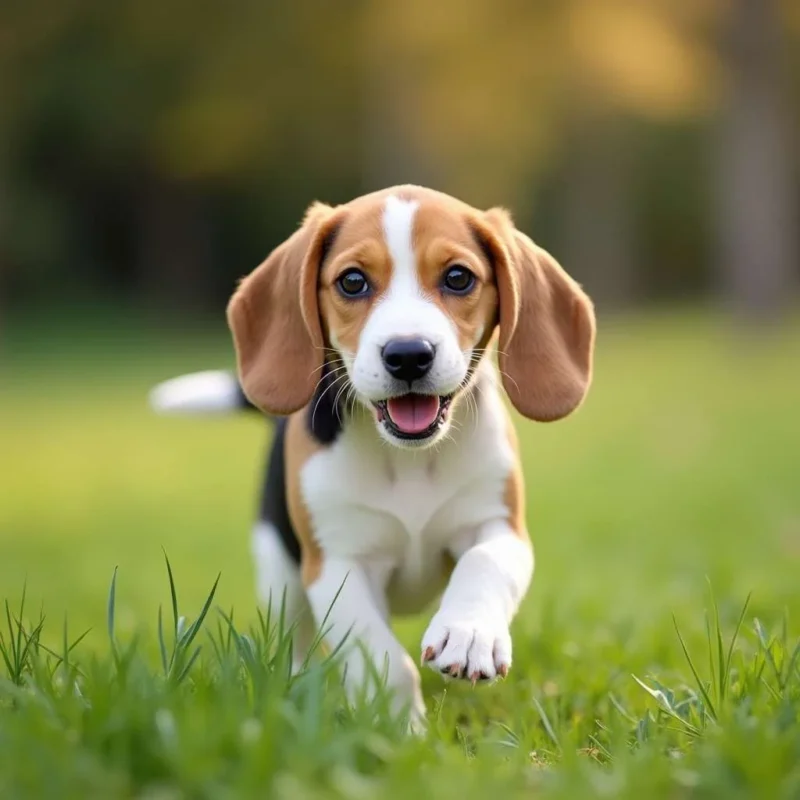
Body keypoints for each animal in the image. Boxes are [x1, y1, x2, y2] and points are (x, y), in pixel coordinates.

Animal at [150, 184, 592, 728]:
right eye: (353, 281)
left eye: (458, 277)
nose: (408, 355)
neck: (409, 459)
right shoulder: (335, 564)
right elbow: (381, 656)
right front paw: (400, 727)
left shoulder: (500, 526)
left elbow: (484, 563)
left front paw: (469, 634)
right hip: (280, 575)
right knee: (293, 638)